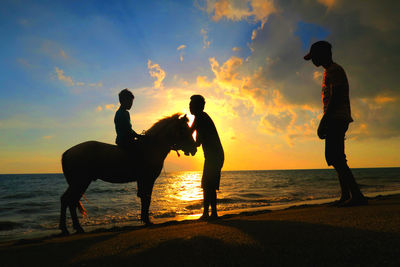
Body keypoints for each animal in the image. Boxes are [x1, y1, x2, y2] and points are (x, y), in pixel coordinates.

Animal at [59, 114, 197, 236]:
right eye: (183, 129)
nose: (194, 148)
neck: (151, 148)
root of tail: (68, 152)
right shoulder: (148, 179)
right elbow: (147, 198)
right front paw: (147, 221)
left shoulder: (143, 180)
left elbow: (143, 198)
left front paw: (144, 219)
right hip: (80, 182)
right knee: (67, 200)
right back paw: (68, 229)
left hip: (79, 183)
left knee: (71, 201)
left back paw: (75, 228)